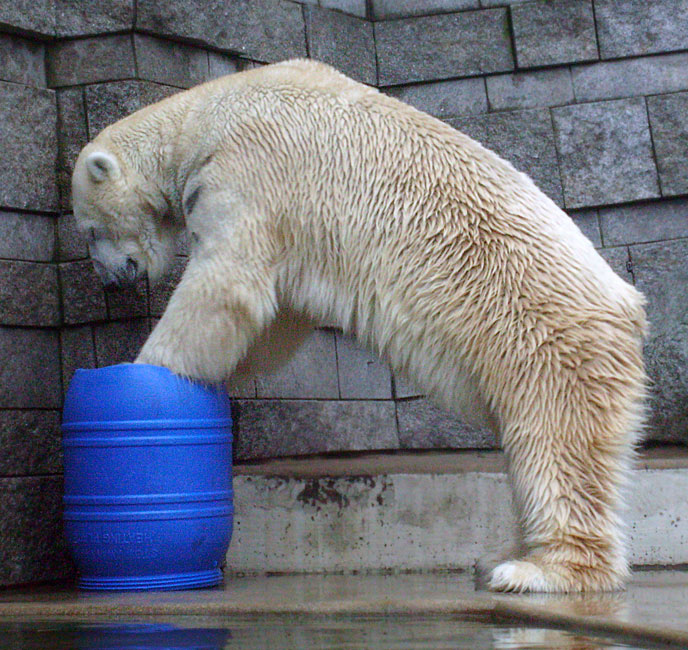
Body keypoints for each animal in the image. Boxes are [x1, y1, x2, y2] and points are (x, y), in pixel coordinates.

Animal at [72, 58, 648, 588]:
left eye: (88, 229)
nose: (110, 281)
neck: (200, 118)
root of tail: (628, 306)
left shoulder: (247, 171)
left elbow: (228, 287)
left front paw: (144, 369)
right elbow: (279, 319)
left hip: (542, 342)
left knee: (553, 446)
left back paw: (537, 570)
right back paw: (500, 556)